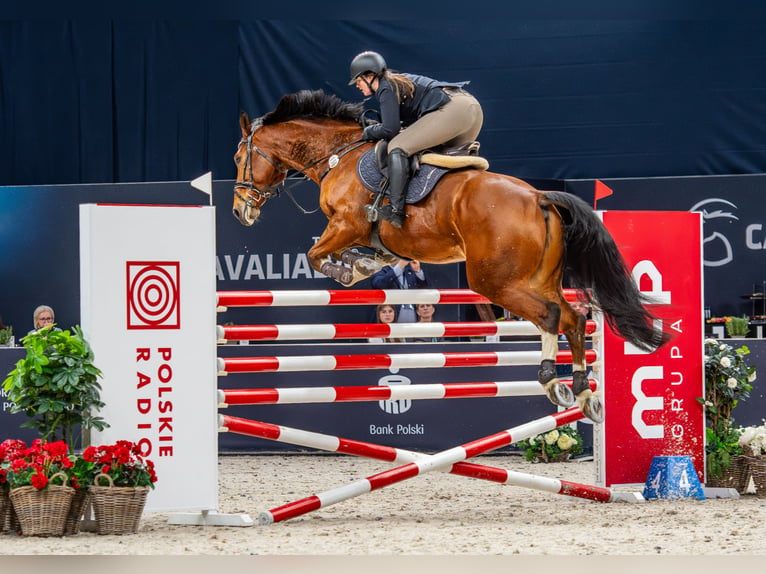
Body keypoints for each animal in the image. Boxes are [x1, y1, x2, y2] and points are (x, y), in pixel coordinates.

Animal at [230, 89, 672, 424]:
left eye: (238, 158)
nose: (238, 212)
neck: (341, 155)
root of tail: (539, 196)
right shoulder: (353, 232)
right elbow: (350, 254)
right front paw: (368, 262)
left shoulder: (346, 223)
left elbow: (316, 253)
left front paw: (351, 270)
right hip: (537, 279)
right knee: (573, 317)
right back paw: (582, 393)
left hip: (496, 281)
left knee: (551, 316)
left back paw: (553, 382)